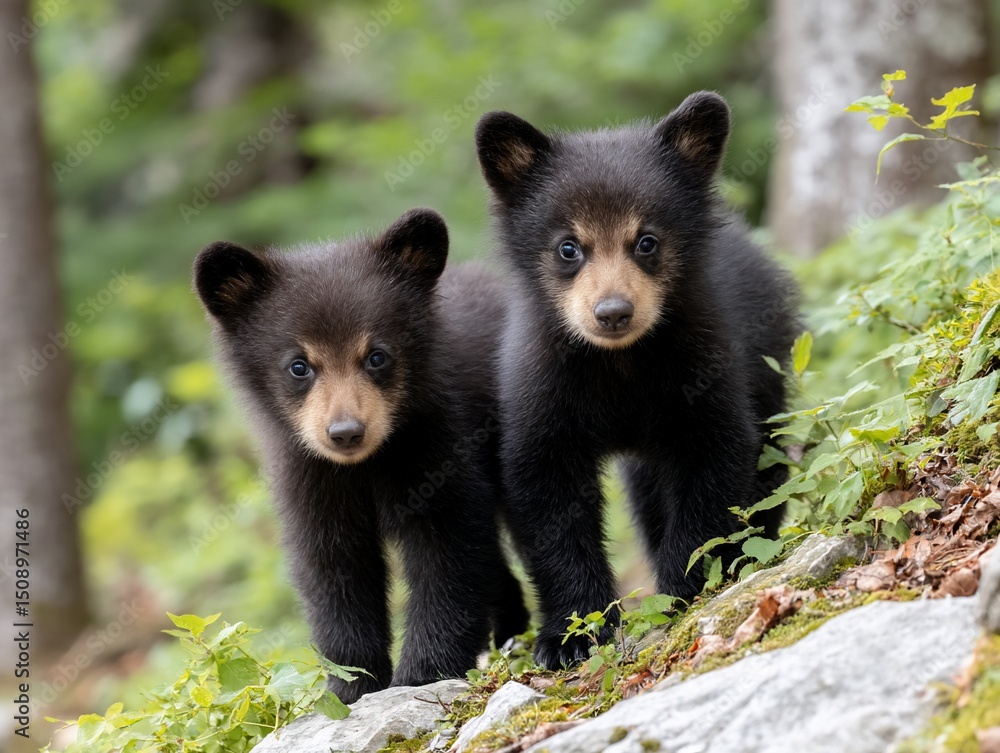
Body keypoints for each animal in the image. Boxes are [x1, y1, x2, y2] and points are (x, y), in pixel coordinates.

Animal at [193, 208, 528, 702]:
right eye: (299, 365)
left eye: (376, 356)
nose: (345, 432)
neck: (364, 467)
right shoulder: (309, 477)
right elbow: (335, 571)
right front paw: (350, 684)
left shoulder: (437, 445)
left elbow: (448, 551)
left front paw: (423, 672)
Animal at [474, 92, 800, 670]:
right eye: (568, 247)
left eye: (646, 242)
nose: (612, 312)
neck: (619, 365)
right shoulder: (541, 388)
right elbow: (547, 497)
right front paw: (571, 636)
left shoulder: (703, 368)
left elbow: (712, 470)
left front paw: (681, 590)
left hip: (766, 361)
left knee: (767, 463)